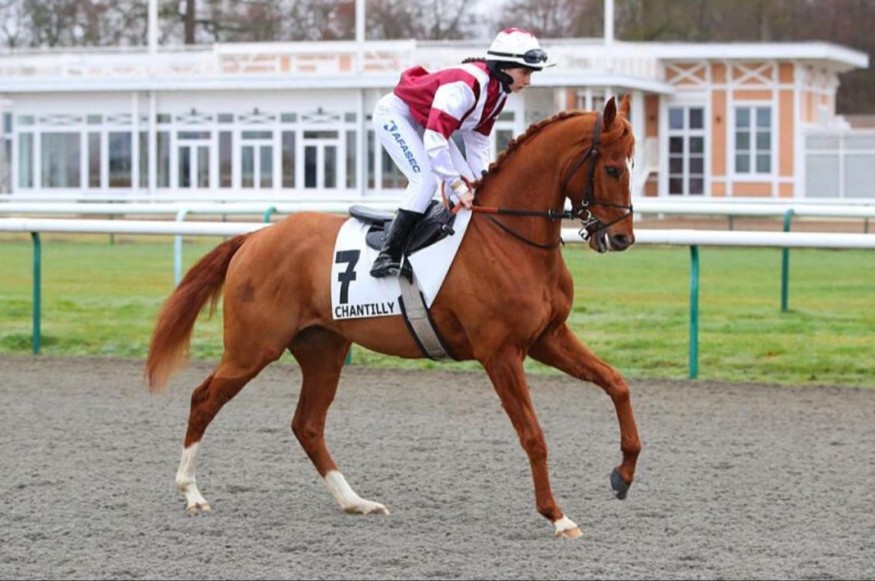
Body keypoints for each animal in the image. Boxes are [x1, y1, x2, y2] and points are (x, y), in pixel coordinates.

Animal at [146, 95, 641, 539]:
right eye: (613, 168)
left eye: (632, 165)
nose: (621, 239)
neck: (509, 237)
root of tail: (254, 237)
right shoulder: (500, 353)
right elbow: (533, 434)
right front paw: (557, 516)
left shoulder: (547, 337)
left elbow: (617, 383)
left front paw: (623, 474)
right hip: (253, 347)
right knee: (204, 399)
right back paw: (191, 492)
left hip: (323, 348)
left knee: (307, 424)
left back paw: (355, 501)